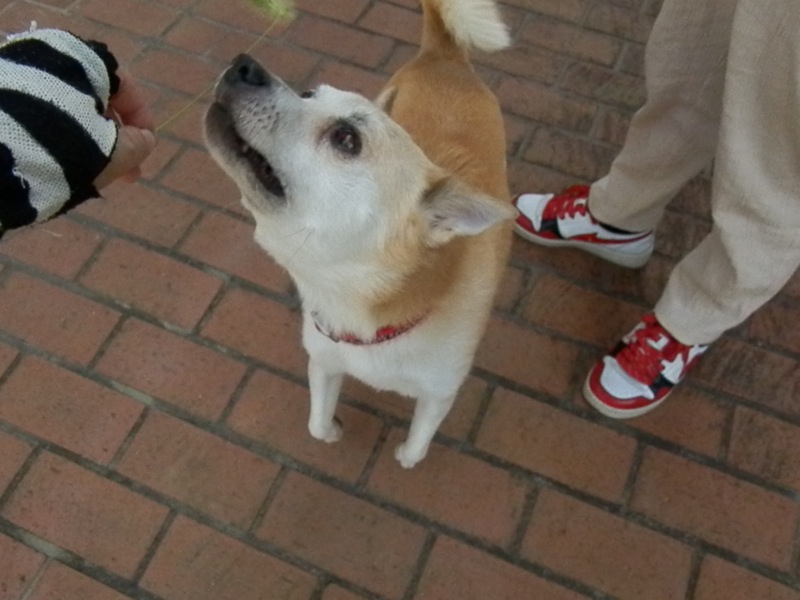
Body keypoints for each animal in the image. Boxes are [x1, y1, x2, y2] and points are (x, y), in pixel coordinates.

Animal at [204, 0, 513, 468]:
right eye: (308, 94)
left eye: (346, 139)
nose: (245, 66)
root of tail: (444, 56)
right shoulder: (324, 360)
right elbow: (316, 424)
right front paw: (332, 430)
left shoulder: (439, 394)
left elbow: (415, 449)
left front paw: (402, 452)